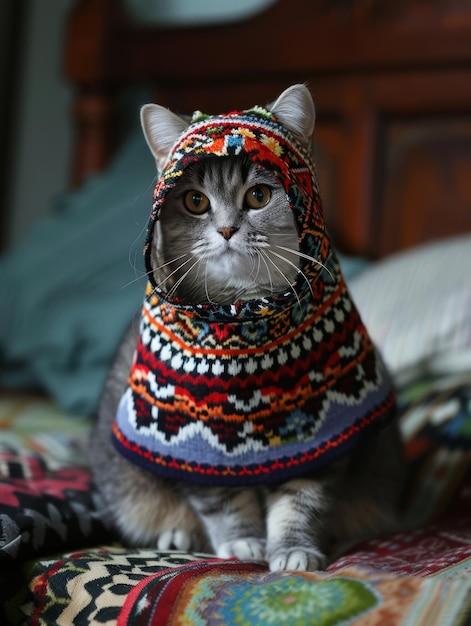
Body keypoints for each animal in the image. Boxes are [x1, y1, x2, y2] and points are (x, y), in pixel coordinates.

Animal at [91, 84, 406, 572]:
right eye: (195, 201)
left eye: (258, 196)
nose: (225, 230)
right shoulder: (194, 447)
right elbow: (221, 500)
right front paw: (243, 543)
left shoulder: (319, 436)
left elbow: (301, 501)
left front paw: (293, 552)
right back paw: (178, 533)